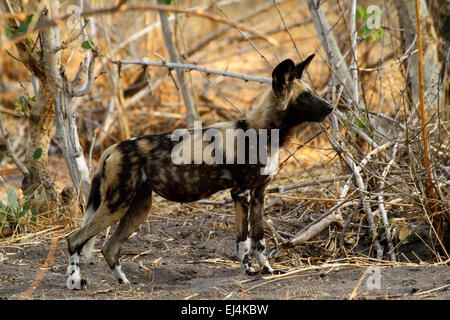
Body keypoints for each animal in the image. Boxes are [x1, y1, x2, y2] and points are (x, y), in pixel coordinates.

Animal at [67, 55, 334, 290]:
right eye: (305, 96)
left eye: (312, 92)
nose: (330, 107)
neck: (263, 133)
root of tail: (115, 147)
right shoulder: (241, 193)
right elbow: (244, 241)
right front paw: (248, 270)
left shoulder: (259, 193)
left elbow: (259, 240)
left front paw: (267, 270)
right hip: (117, 205)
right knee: (74, 239)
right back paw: (75, 282)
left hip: (138, 207)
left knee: (109, 248)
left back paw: (125, 283)